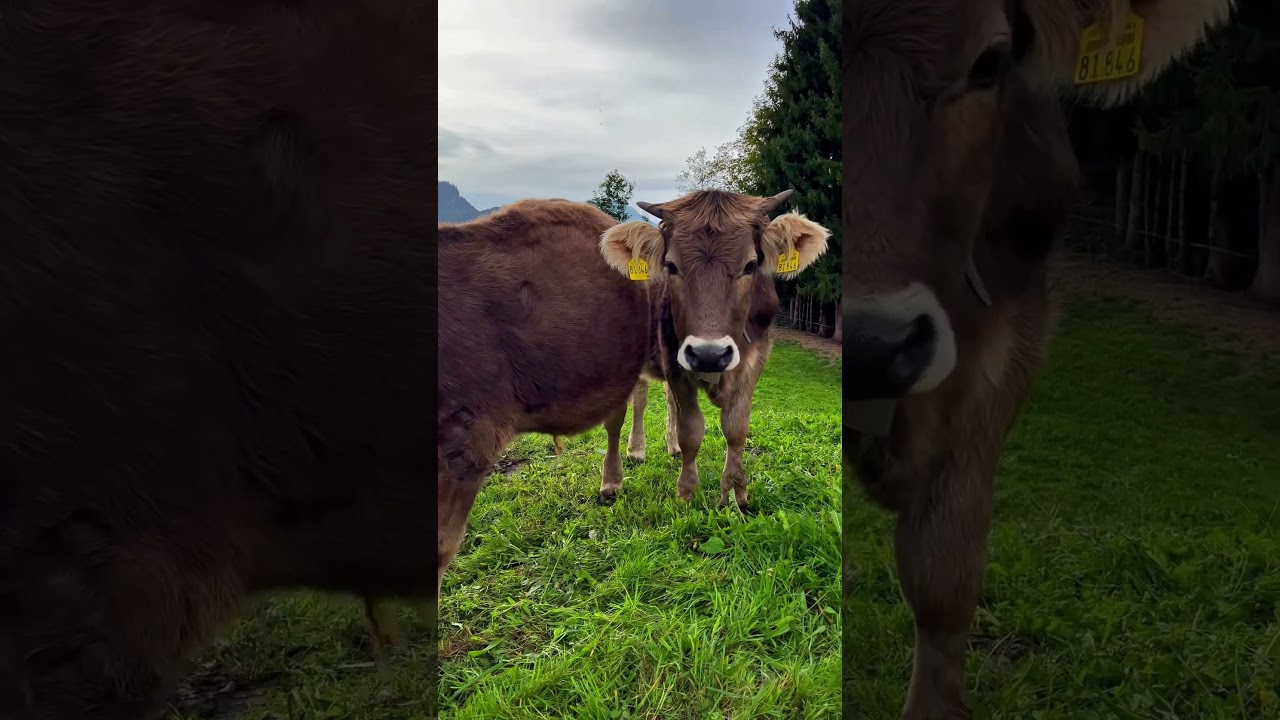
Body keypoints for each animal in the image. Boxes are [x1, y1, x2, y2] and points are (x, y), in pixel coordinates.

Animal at [598, 190, 831, 509]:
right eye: (671, 266)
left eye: (750, 265)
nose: (709, 354)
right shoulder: (675, 362)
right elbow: (692, 430)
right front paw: (687, 491)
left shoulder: (753, 363)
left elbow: (735, 428)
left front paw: (735, 493)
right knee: (620, 415)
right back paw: (615, 475)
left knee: (651, 398)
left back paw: (659, 447)